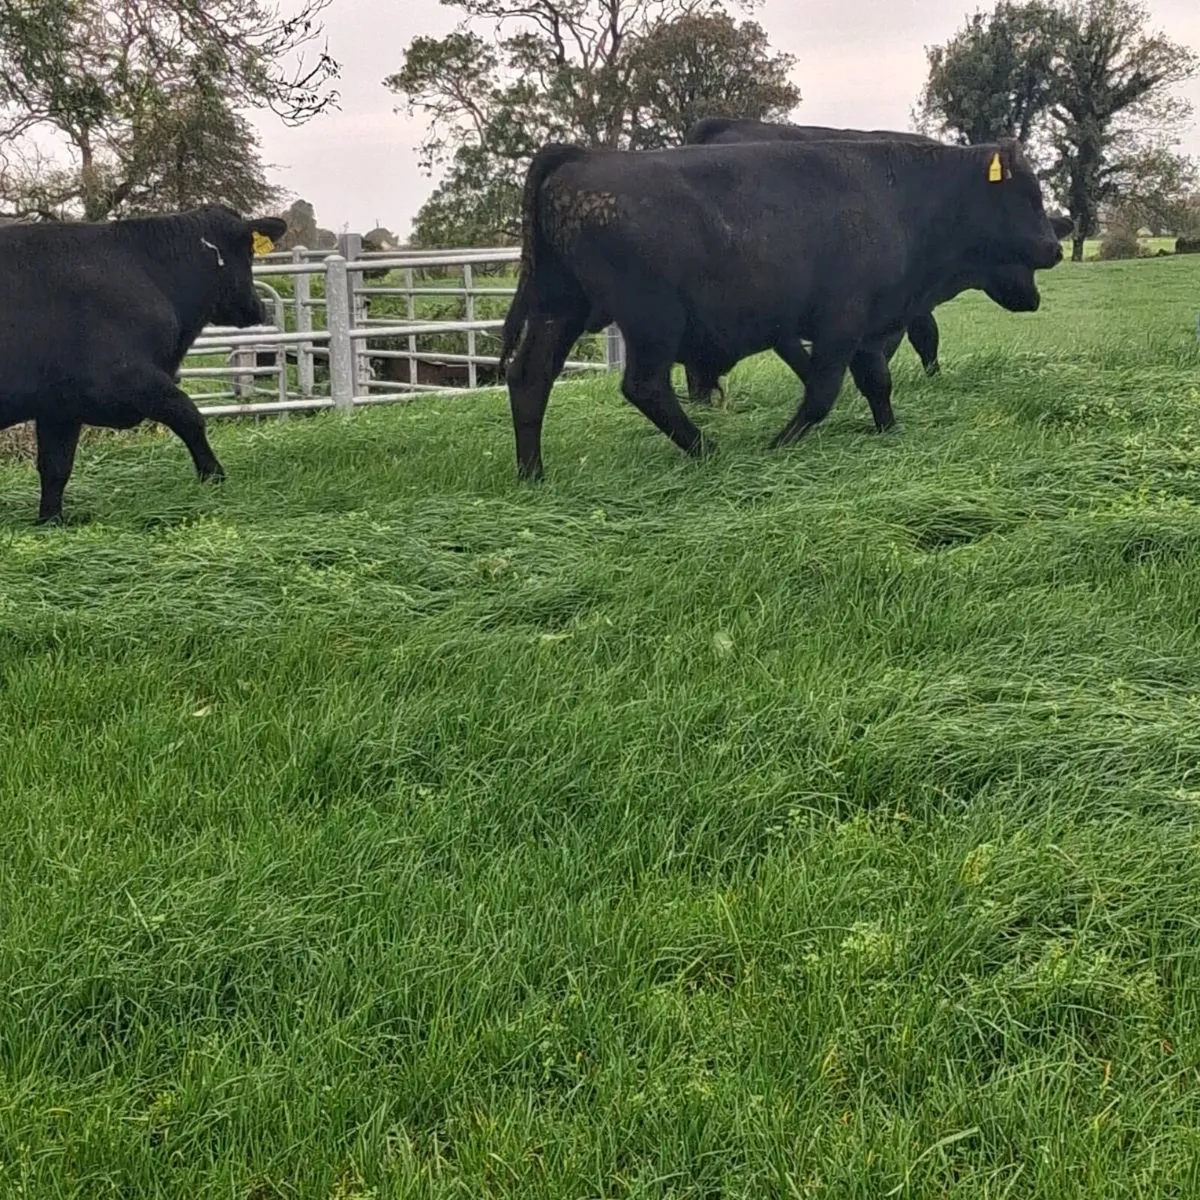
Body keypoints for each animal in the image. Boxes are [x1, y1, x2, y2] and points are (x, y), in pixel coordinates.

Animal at [0, 204, 288, 524]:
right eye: (249, 252)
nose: (258, 308)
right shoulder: (126, 378)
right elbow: (189, 417)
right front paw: (213, 478)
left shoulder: (60, 406)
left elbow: (55, 466)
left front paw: (50, 522)